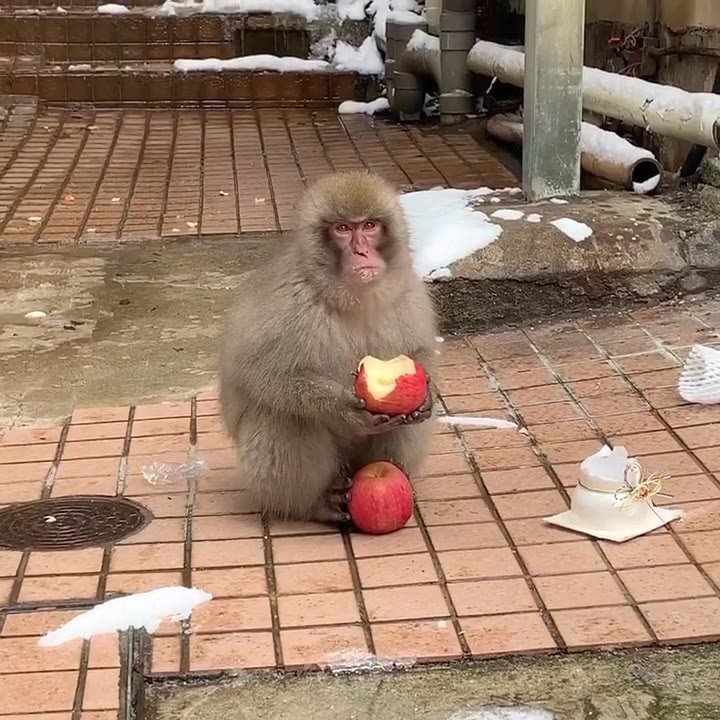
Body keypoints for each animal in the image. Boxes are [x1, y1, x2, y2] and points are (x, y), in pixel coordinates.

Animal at [219, 170, 438, 524]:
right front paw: (345, 410)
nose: (361, 252)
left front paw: (427, 395)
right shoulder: (291, 301)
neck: (353, 298)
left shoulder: (409, 292)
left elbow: (421, 350)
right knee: (283, 416)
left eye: (369, 225)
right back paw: (315, 504)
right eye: (343, 229)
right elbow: (261, 375)